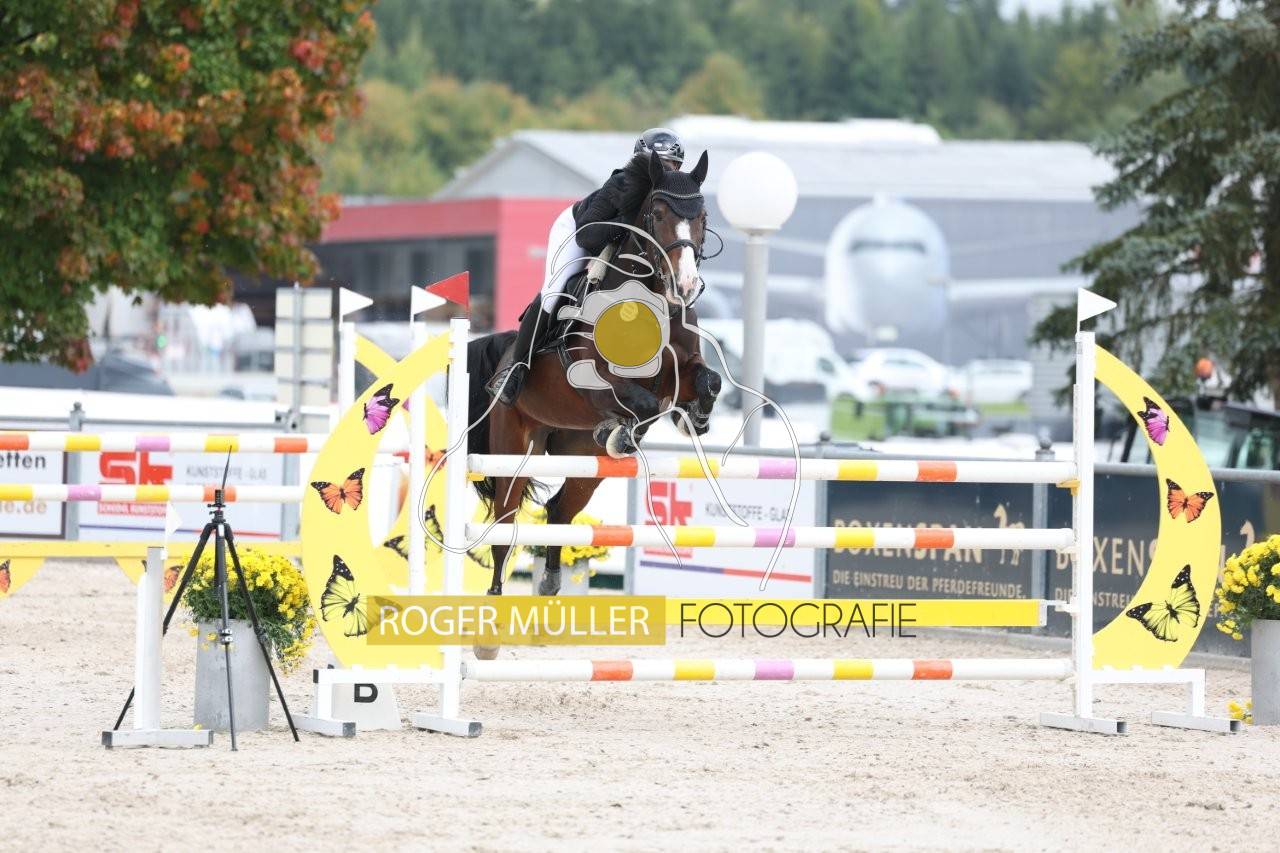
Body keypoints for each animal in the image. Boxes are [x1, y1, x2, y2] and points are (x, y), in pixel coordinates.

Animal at [466, 150, 722, 609]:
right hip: (512, 447)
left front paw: (693, 417)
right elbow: (642, 403)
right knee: (504, 526)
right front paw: (624, 432)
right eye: (657, 214)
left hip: (581, 456)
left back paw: (551, 581)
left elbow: (707, 383)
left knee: (560, 511)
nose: (686, 287)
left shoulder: (682, 368)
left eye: (703, 216)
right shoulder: (592, 379)